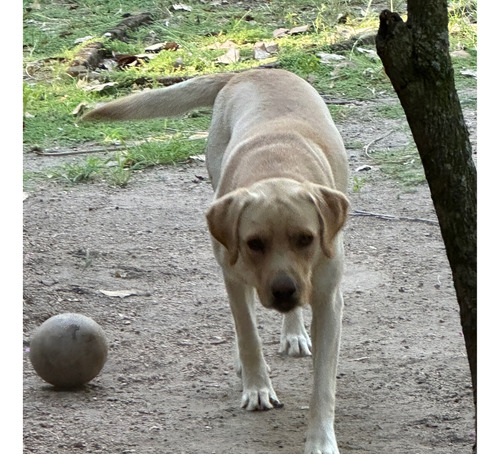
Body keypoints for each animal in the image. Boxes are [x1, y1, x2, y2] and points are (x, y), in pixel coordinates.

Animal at [85, 69, 348, 452]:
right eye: (255, 243)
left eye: (306, 239)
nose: (284, 291)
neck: (277, 167)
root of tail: (254, 70)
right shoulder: (234, 277)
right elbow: (248, 334)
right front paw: (257, 387)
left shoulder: (328, 298)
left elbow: (323, 385)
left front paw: (321, 439)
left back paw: (294, 331)